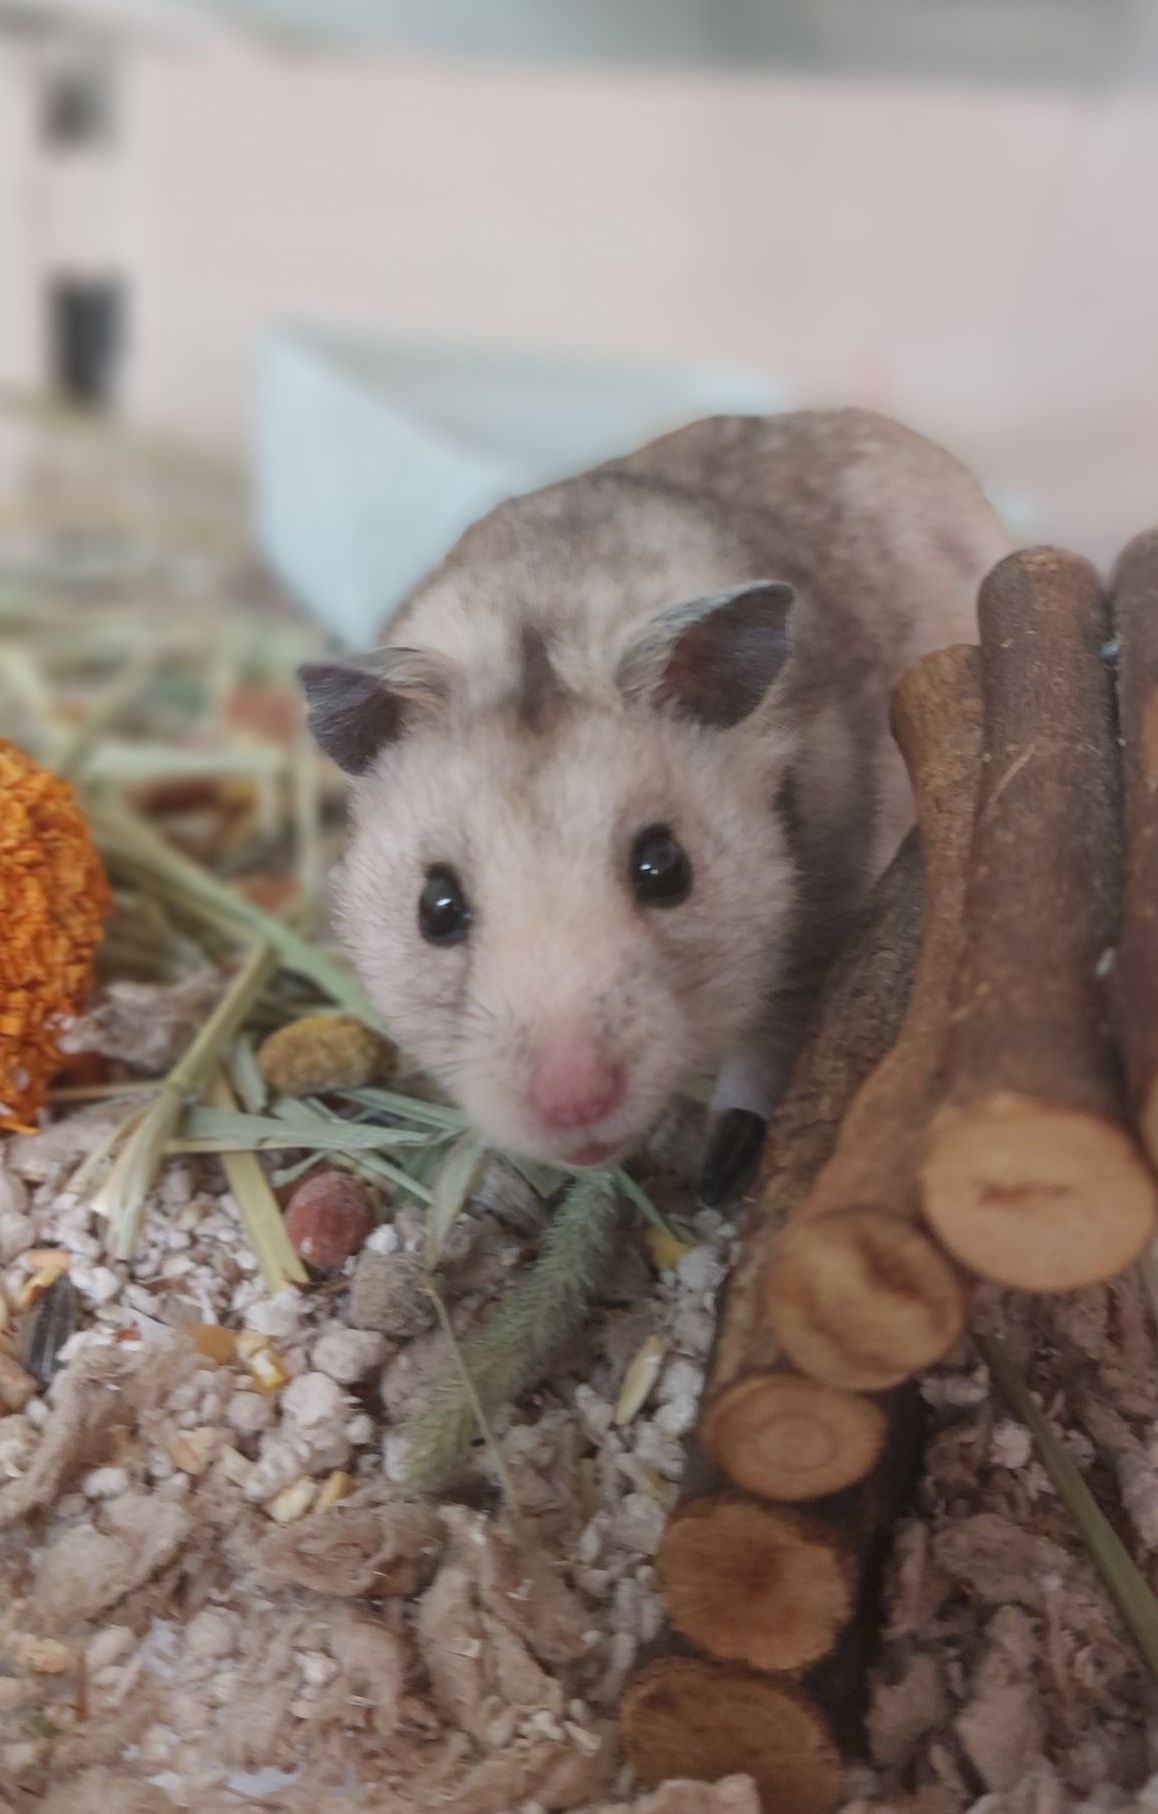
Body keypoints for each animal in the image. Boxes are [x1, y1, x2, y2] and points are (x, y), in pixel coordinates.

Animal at [301, 409, 1009, 1203]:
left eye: (665, 868)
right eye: (436, 908)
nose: (575, 1105)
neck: (546, 607)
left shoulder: (822, 914)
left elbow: (772, 1041)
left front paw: (721, 1169)